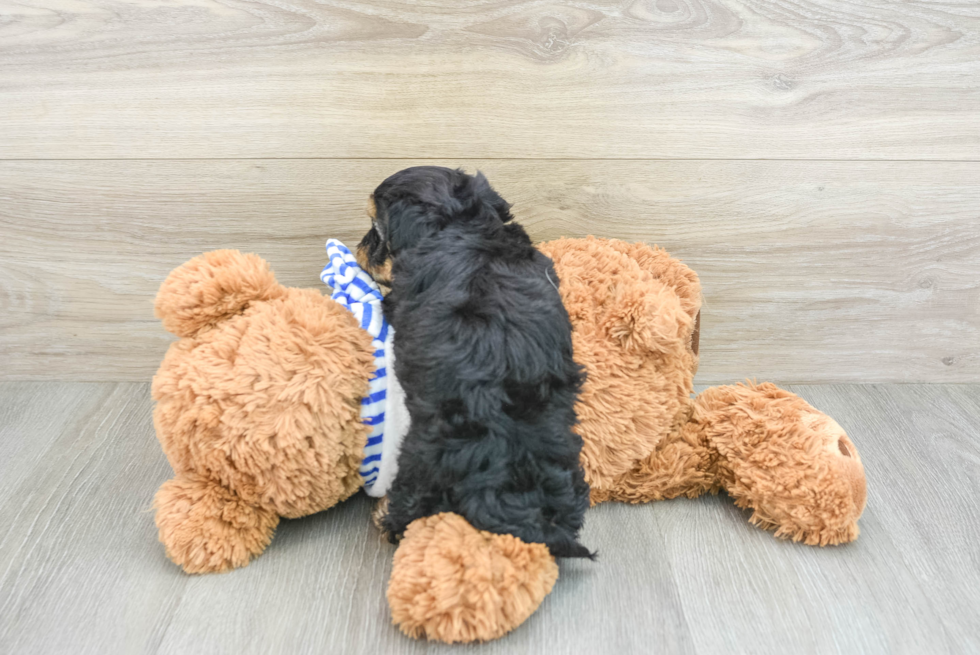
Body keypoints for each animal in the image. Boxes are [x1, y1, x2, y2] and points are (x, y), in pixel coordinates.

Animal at [358, 165, 588, 560]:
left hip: (421, 454)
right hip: (563, 455)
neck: (466, 223)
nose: (359, 246)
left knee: (410, 502)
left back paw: (386, 516)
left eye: (377, 231)